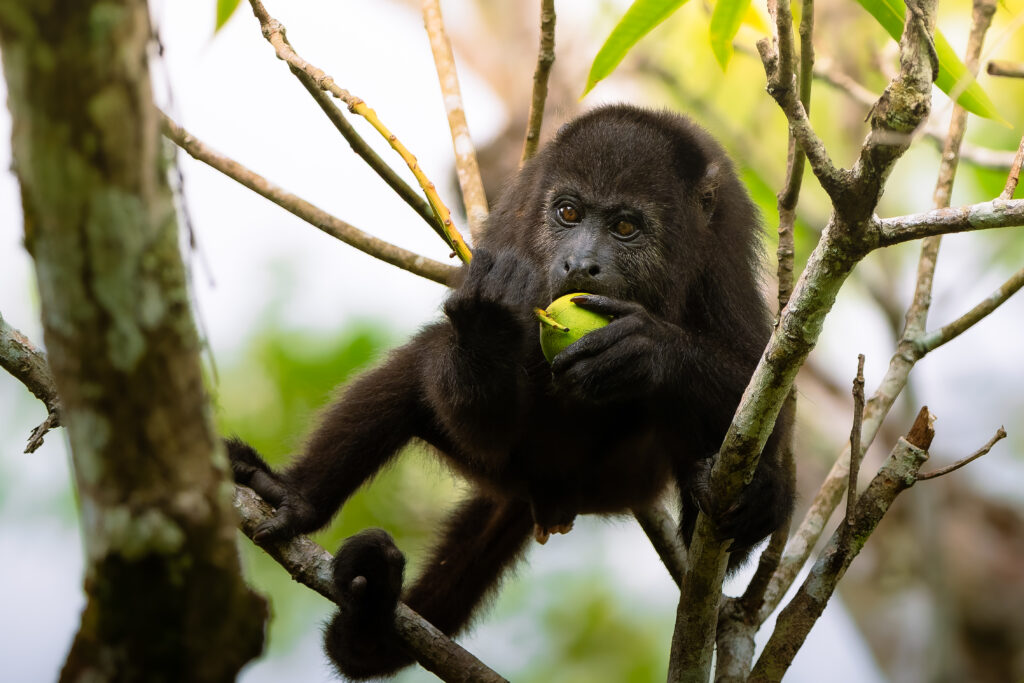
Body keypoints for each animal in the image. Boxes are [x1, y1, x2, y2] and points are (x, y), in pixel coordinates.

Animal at [227, 104, 794, 679]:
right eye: (568, 213)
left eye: (625, 226)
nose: (579, 264)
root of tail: (549, 494)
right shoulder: (510, 236)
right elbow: (473, 418)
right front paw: (486, 328)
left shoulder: (722, 249)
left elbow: (767, 377)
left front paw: (645, 348)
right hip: (508, 468)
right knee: (417, 367)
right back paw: (292, 496)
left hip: (624, 479)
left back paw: (748, 502)